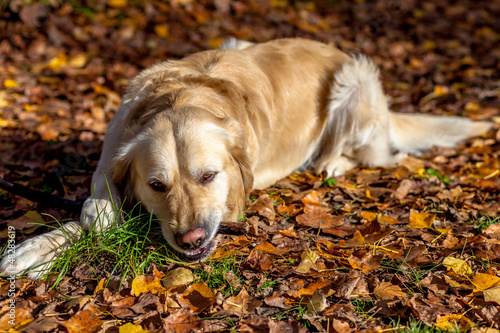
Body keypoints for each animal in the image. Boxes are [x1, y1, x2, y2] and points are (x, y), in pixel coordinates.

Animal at [0, 38, 492, 278]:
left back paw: (331, 161)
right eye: (158, 185)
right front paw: (33, 250)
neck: (183, 96)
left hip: (356, 78)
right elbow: (96, 207)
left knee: (372, 154)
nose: (192, 240)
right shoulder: (113, 152)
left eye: (209, 176)